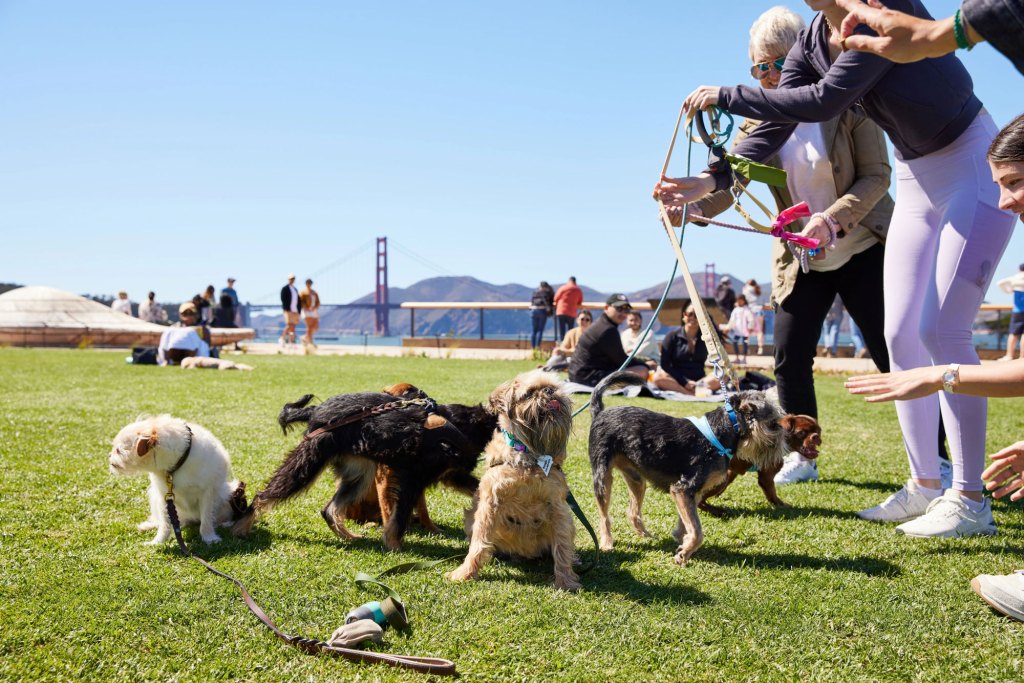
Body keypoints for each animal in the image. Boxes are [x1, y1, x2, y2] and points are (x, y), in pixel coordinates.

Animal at [108, 417, 245, 544]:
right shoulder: (163, 497)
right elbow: (164, 524)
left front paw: (209, 538)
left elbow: (206, 519)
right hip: (154, 497)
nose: (109, 455)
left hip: (229, 495)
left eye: (118, 451)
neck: (175, 466)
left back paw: (224, 523)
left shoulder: (207, 494)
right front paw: (158, 541)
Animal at [235, 385, 499, 548]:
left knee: (329, 509)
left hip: (359, 475)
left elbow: (477, 486)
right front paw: (394, 544)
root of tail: (316, 411)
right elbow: (399, 516)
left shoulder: (452, 475)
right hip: (307, 462)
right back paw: (241, 528)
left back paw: (348, 536)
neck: (462, 427)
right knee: (263, 495)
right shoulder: (413, 479)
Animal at [448, 370, 585, 589]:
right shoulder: (489, 504)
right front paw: (466, 573)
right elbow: (479, 543)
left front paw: (565, 580)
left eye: (553, 388)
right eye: (529, 393)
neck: (529, 455)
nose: (549, 392)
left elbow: (562, 546)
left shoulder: (559, 508)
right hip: (470, 517)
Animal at [589, 374, 819, 565]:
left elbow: (687, 523)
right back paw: (607, 543)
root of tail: (599, 412)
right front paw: (684, 554)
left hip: (637, 479)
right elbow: (697, 532)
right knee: (604, 515)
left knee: (632, 511)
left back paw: (645, 534)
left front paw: (681, 540)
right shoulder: (684, 489)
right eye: (773, 424)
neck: (723, 430)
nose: (783, 443)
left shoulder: (692, 493)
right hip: (602, 476)